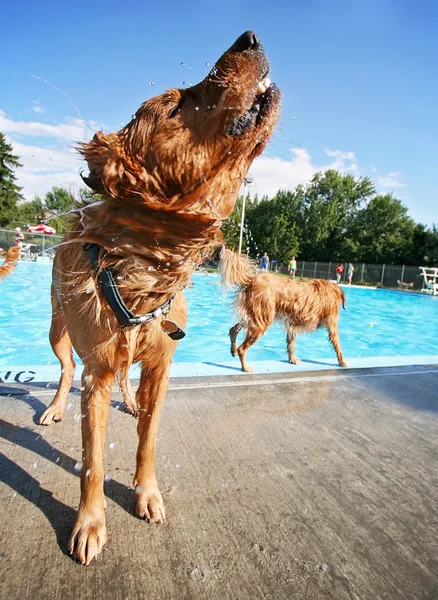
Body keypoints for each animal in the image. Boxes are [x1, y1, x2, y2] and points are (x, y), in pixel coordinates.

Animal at [39, 30, 282, 564]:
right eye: (175, 106)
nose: (250, 36)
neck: (147, 275)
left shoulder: (162, 365)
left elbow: (147, 439)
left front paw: (147, 493)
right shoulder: (97, 374)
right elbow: (91, 459)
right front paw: (90, 524)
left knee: (127, 383)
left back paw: (130, 402)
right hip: (57, 327)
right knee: (65, 369)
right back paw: (54, 407)